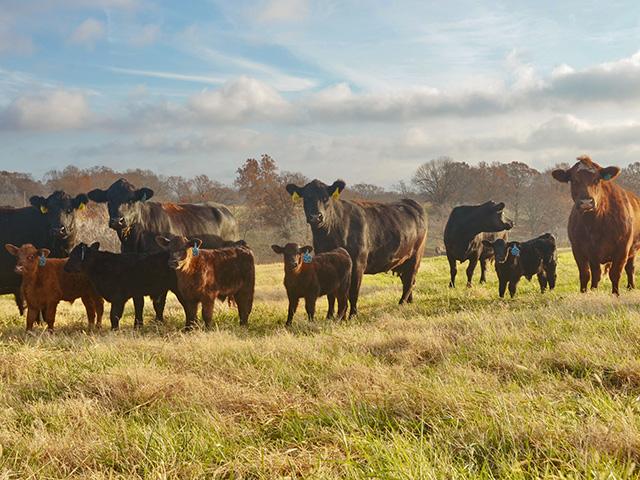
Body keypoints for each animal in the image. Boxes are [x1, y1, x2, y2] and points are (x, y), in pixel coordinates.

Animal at [87, 178, 239, 321]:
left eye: (131, 199)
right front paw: (138, 325)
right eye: (109, 199)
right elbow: (138, 301)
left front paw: (159, 322)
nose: (117, 220)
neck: (137, 238)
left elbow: (159, 302)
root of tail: (226, 211)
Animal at [285, 180, 427, 317]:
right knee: (408, 280)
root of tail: (410, 202)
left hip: (416, 256)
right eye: (306, 197)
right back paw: (409, 302)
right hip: (404, 261)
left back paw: (401, 304)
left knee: (409, 281)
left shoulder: (358, 263)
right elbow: (331, 294)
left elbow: (353, 292)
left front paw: (352, 315)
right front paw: (329, 316)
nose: (316, 217)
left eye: (325, 198)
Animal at [552, 155, 640, 295]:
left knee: (630, 268)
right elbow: (586, 274)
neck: (594, 223)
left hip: (633, 249)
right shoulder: (579, 249)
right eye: (574, 180)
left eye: (597, 179)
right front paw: (586, 293)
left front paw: (615, 294)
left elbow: (615, 273)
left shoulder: (622, 248)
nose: (586, 202)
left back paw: (631, 287)